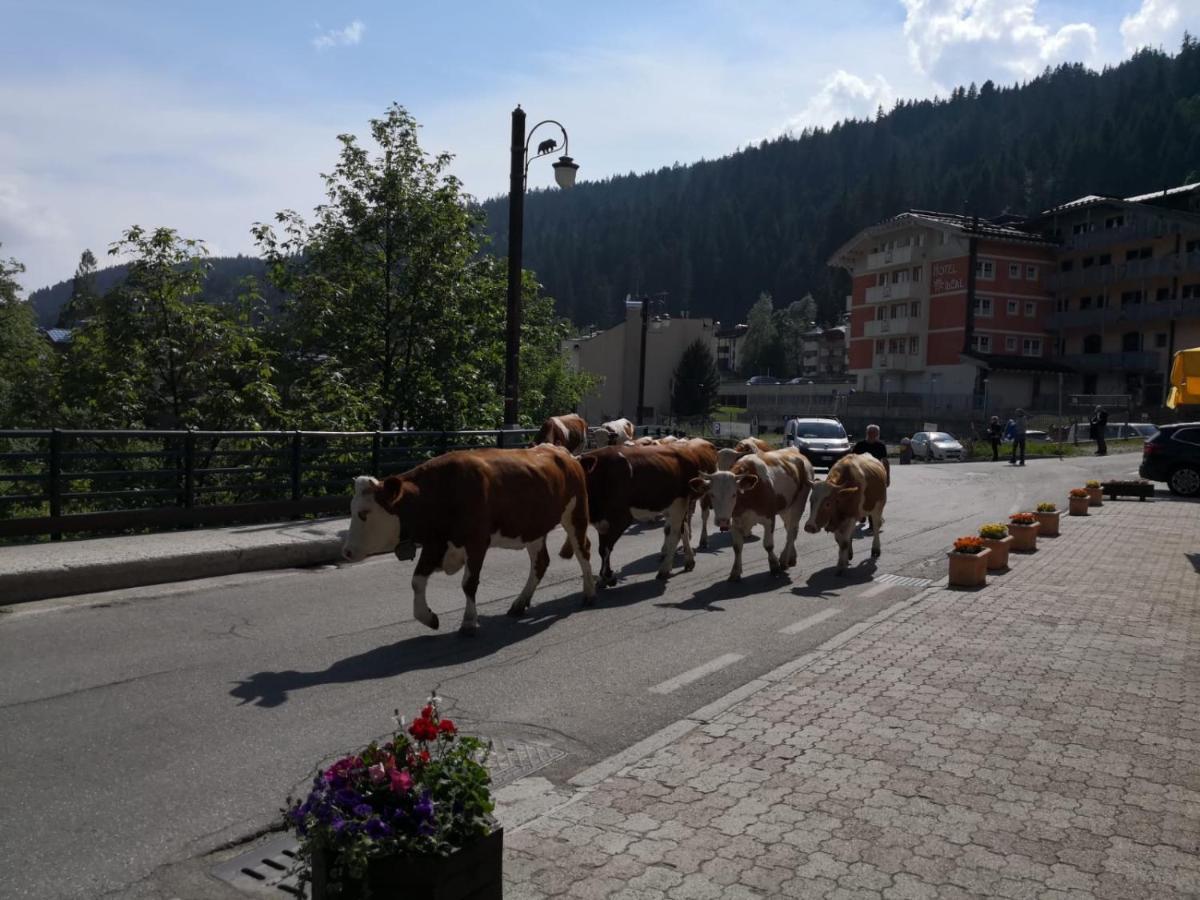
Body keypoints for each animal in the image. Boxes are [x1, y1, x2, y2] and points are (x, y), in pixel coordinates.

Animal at [343, 446, 595, 633]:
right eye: (351, 510)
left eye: (364, 513)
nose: (346, 551)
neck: (443, 491)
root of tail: (566, 454)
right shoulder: (435, 543)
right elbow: (417, 581)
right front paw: (428, 617)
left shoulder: (476, 542)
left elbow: (469, 583)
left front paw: (469, 621)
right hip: (533, 527)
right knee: (540, 562)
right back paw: (520, 603)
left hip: (576, 514)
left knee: (583, 550)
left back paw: (589, 593)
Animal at [578, 441, 715, 585]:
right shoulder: (601, 521)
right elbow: (602, 548)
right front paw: (603, 578)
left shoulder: (619, 518)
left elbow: (605, 548)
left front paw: (607, 576)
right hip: (673, 504)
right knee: (683, 529)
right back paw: (688, 561)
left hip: (680, 502)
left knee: (677, 533)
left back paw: (665, 569)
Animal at [691, 446, 811, 585]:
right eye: (711, 494)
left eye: (734, 494)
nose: (722, 521)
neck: (749, 495)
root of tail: (794, 450)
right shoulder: (735, 522)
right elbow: (737, 547)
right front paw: (735, 573)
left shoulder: (769, 518)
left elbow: (768, 545)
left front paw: (774, 566)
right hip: (785, 507)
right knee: (790, 528)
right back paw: (791, 557)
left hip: (799, 503)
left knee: (792, 531)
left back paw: (784, 559)